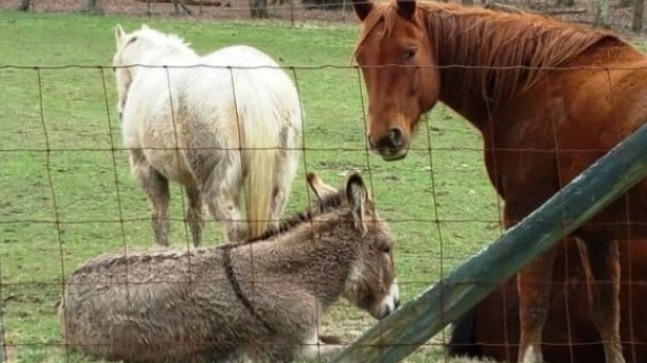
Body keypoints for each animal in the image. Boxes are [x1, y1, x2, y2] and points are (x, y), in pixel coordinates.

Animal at [112, 24, 304, 247]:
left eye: (114, 67)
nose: (120, 112)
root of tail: (250, 83)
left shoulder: (146, 168)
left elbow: (160, 218)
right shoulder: (191, 181)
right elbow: (195, 219)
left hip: (216, 185)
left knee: (234, 227)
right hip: (278, 182)